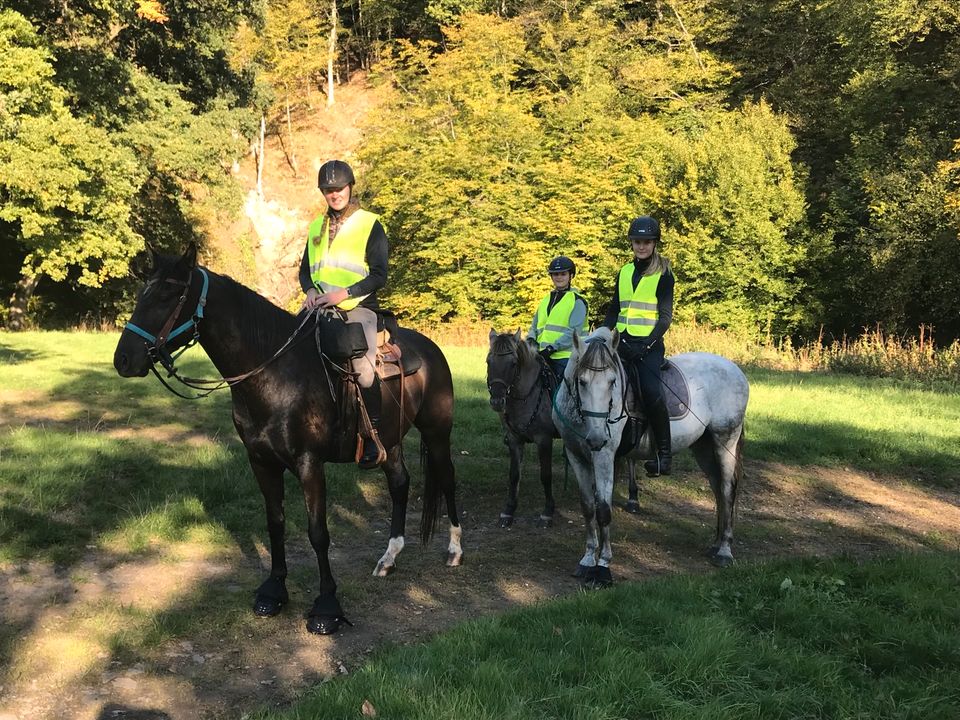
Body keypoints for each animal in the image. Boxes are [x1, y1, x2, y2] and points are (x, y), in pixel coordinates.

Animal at [112, 248, 464, 636]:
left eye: (167, 295)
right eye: (142, 294)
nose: (123, 359)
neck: (274, 373)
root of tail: (431, 349)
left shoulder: (309, 464)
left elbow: (318, 533)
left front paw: (327, 607)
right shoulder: (261, 462)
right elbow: (275, 523)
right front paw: (274, 590)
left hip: (437, 432)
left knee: (447, 480)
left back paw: (454, 550)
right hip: (389, 442)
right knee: (400, 484)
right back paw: (389, 558)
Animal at [488, 332, 564, 528]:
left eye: (513, 364)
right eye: (488, 361)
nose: (497, 401)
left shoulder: (544, 440)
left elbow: (546, 475)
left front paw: (547, 512)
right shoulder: (514, 440)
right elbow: (514, 475)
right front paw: (509, 510)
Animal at [552, 330, 748, 588]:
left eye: (613, 382)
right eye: (582, 381)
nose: (596, 438)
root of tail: (736, 370)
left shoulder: (604, 456)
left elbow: (603, 510)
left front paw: (603, 567)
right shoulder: (576, 456)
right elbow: (587, 507)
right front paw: (586, 560)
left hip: (726, 440)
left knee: (726, 491)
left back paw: (725, 550)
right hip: (704, 447)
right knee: (717, 489)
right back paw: (716, 545)